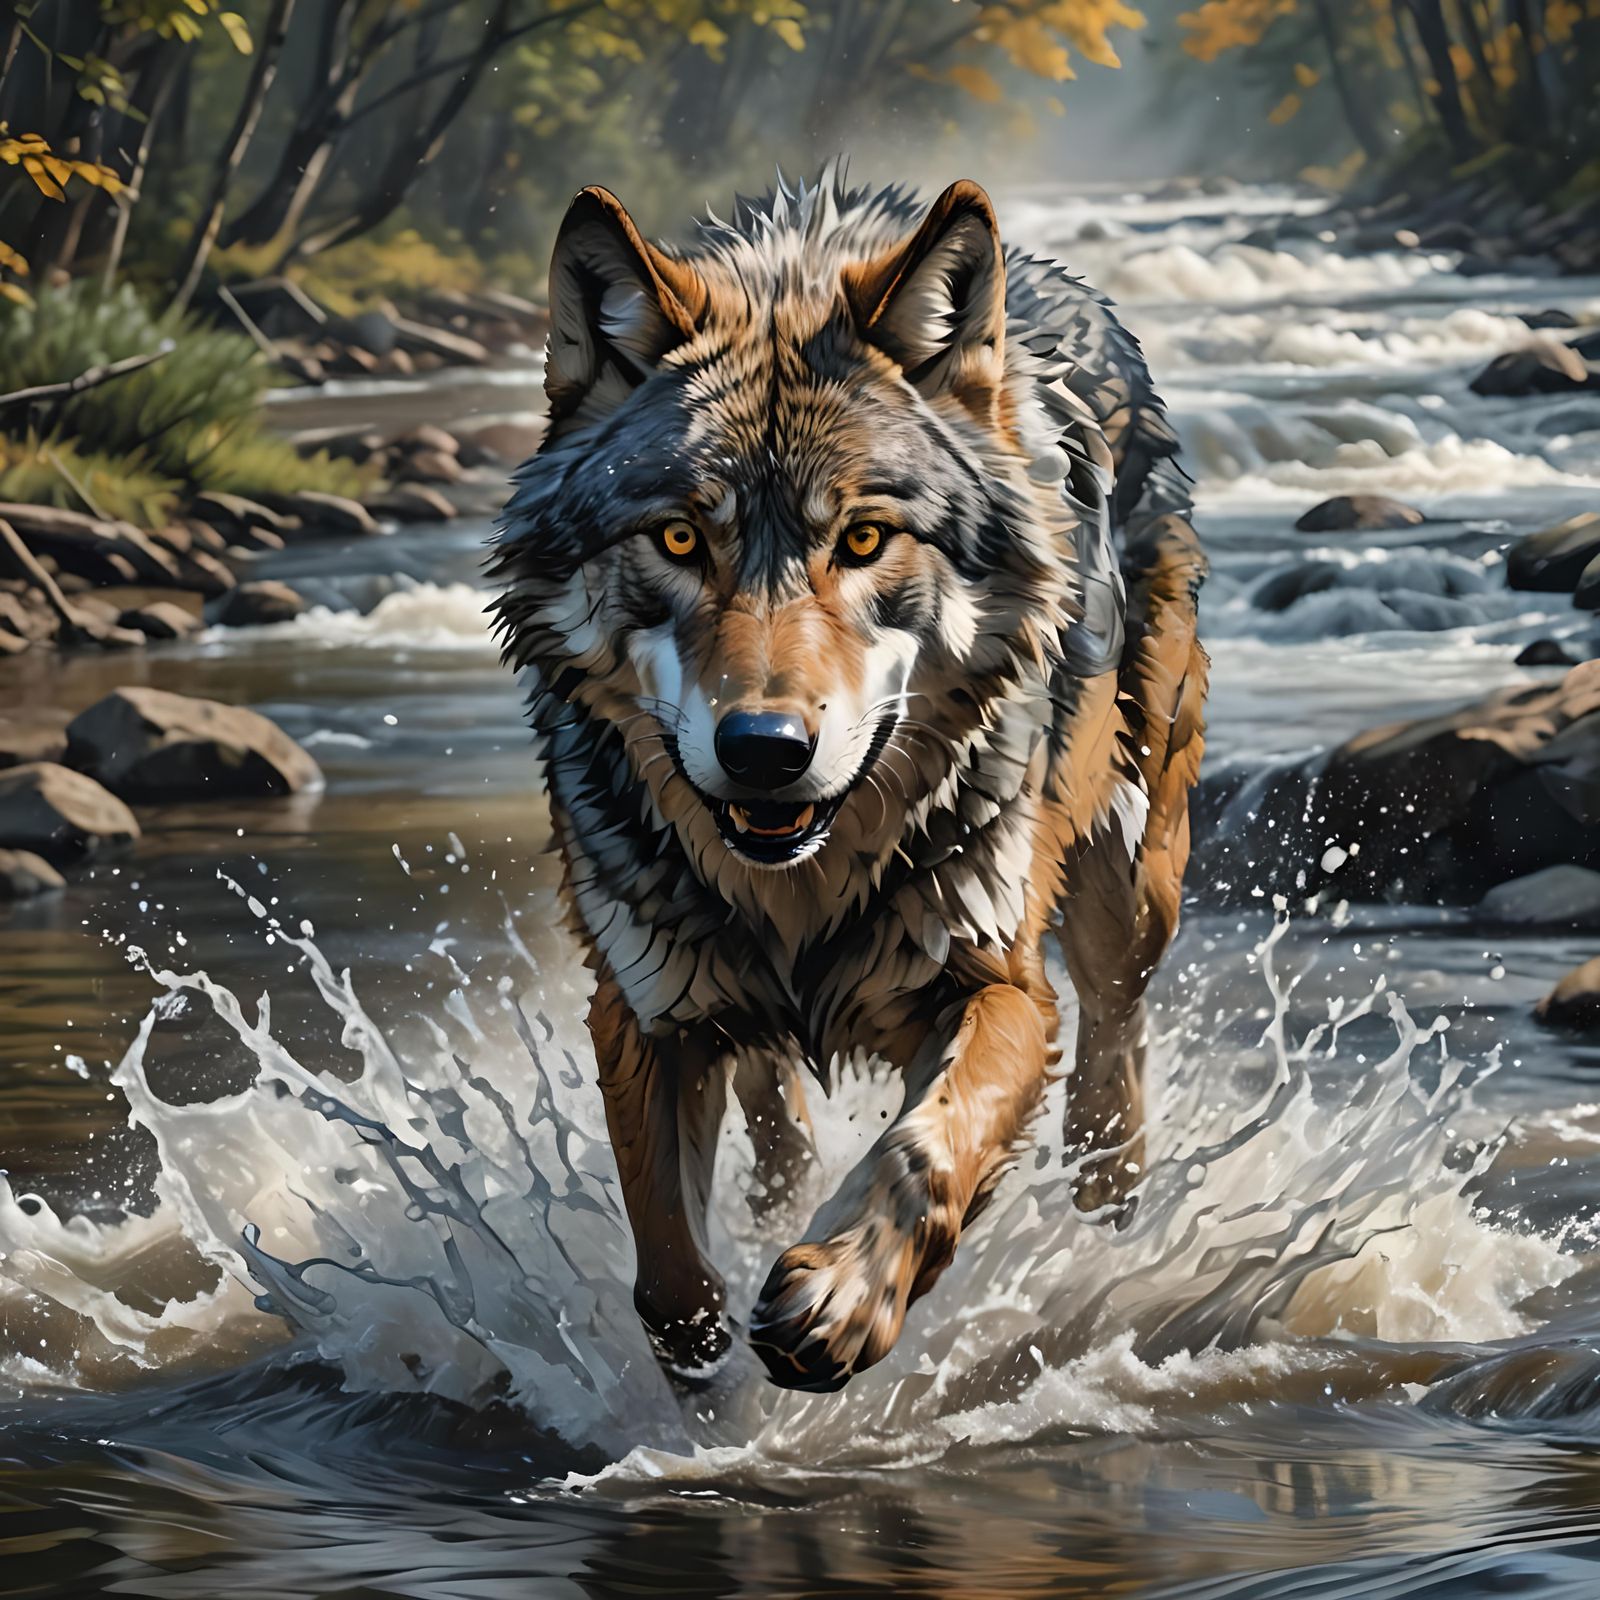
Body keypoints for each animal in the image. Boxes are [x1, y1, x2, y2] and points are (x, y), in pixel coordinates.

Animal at [490, 169, 1207, 1393]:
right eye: (679, 539)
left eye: (865, 539)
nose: (764, 747)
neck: (801, 895)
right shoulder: (643, 1008)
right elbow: (664, 1267)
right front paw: (705, 1365)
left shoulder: (999, 980)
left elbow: (925, 1151)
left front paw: (841, 1296)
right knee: (771, 1102)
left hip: (1126, 876)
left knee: (1116, 1026)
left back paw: (1104, 1200)